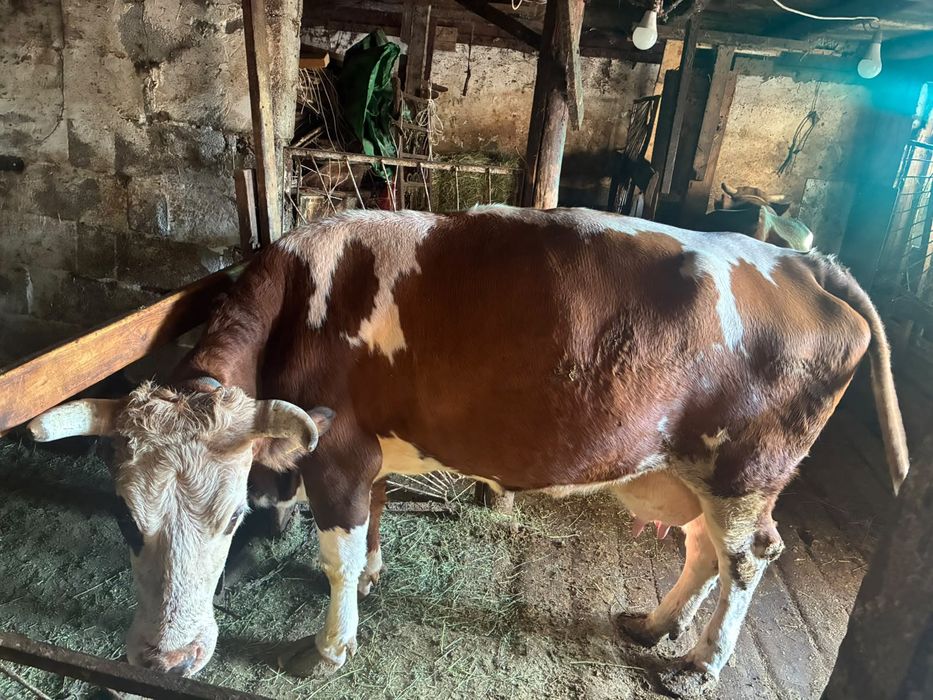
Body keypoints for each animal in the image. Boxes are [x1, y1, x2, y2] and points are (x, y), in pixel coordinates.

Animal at [27, 206, 908, 697]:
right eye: (123, 518)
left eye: (229, 518)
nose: (165, 660)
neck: (303, 297)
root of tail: (802, 260)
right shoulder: (369, 452)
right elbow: (373, 525)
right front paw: (373, 578)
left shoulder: (337, 451)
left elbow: (336, 553)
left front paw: (329, 646)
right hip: (680, 467)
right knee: (700, 549)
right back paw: (654, 625)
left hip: (745, 469)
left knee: (747, 558)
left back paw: (697, 665)